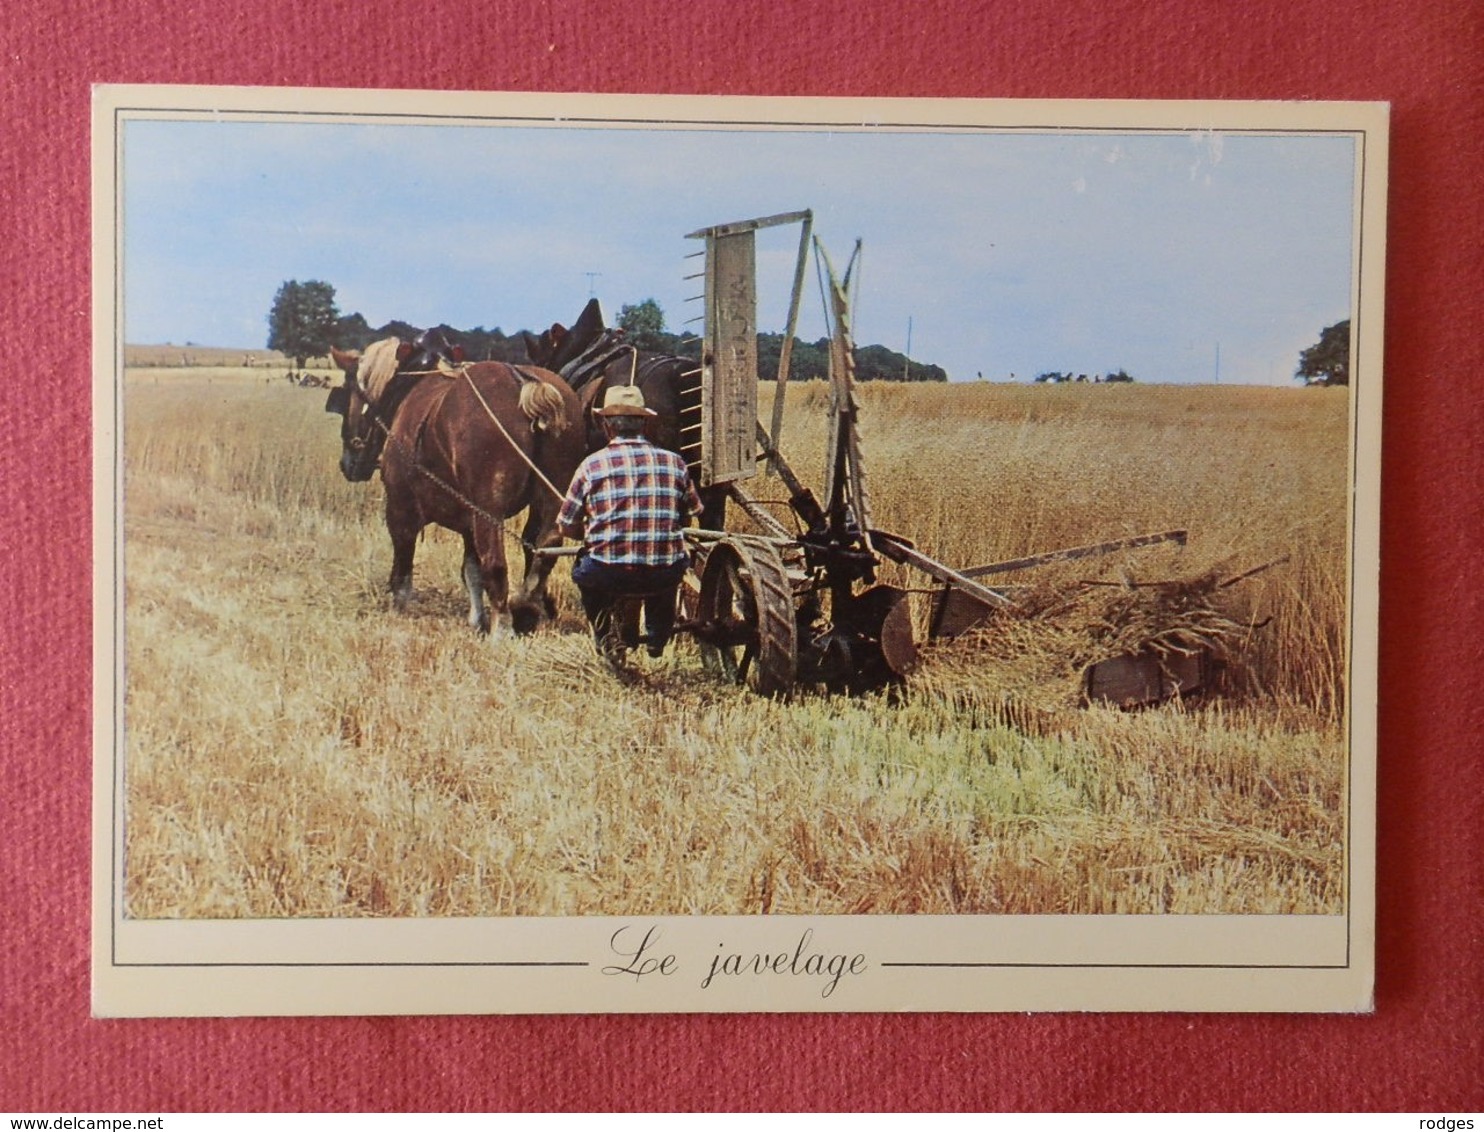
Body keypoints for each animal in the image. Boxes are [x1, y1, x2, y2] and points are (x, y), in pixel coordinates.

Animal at [324, 336, 584, 637]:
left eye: (345, 394)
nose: (347, 464)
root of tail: (524, 382)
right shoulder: (468, 520)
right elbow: (472, 570)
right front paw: (476, 619)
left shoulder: (400, 508)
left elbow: (403, 564)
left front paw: (399, 607)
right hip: (555, 495)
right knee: (546, 545)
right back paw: (526, 604)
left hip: (489, 509)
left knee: (496, 563)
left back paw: (503, 626)